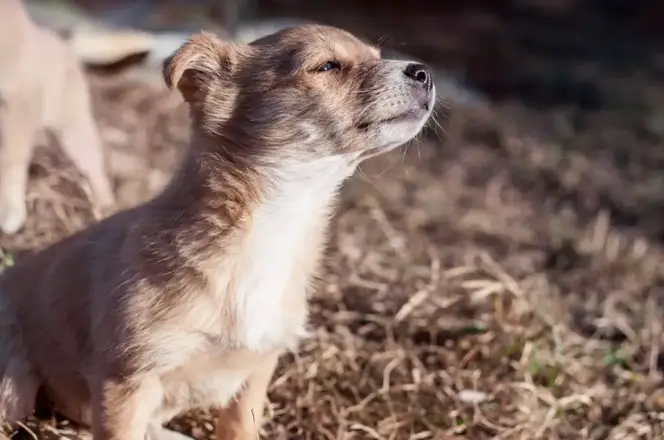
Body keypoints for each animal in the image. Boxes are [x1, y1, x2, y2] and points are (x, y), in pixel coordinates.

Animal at [0, 0, 114, 234]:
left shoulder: (18, 103)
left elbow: (10, 160)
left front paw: (10, 211)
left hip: (73, 128)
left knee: (94, 165)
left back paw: (103, 206)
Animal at [0, 24, 436, 440]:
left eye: (377, 55)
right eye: (327, 66)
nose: (424, 72)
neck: (274, 225)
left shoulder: (258, 368)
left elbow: (240, 427)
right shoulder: (126, 381)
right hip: (15, 389)